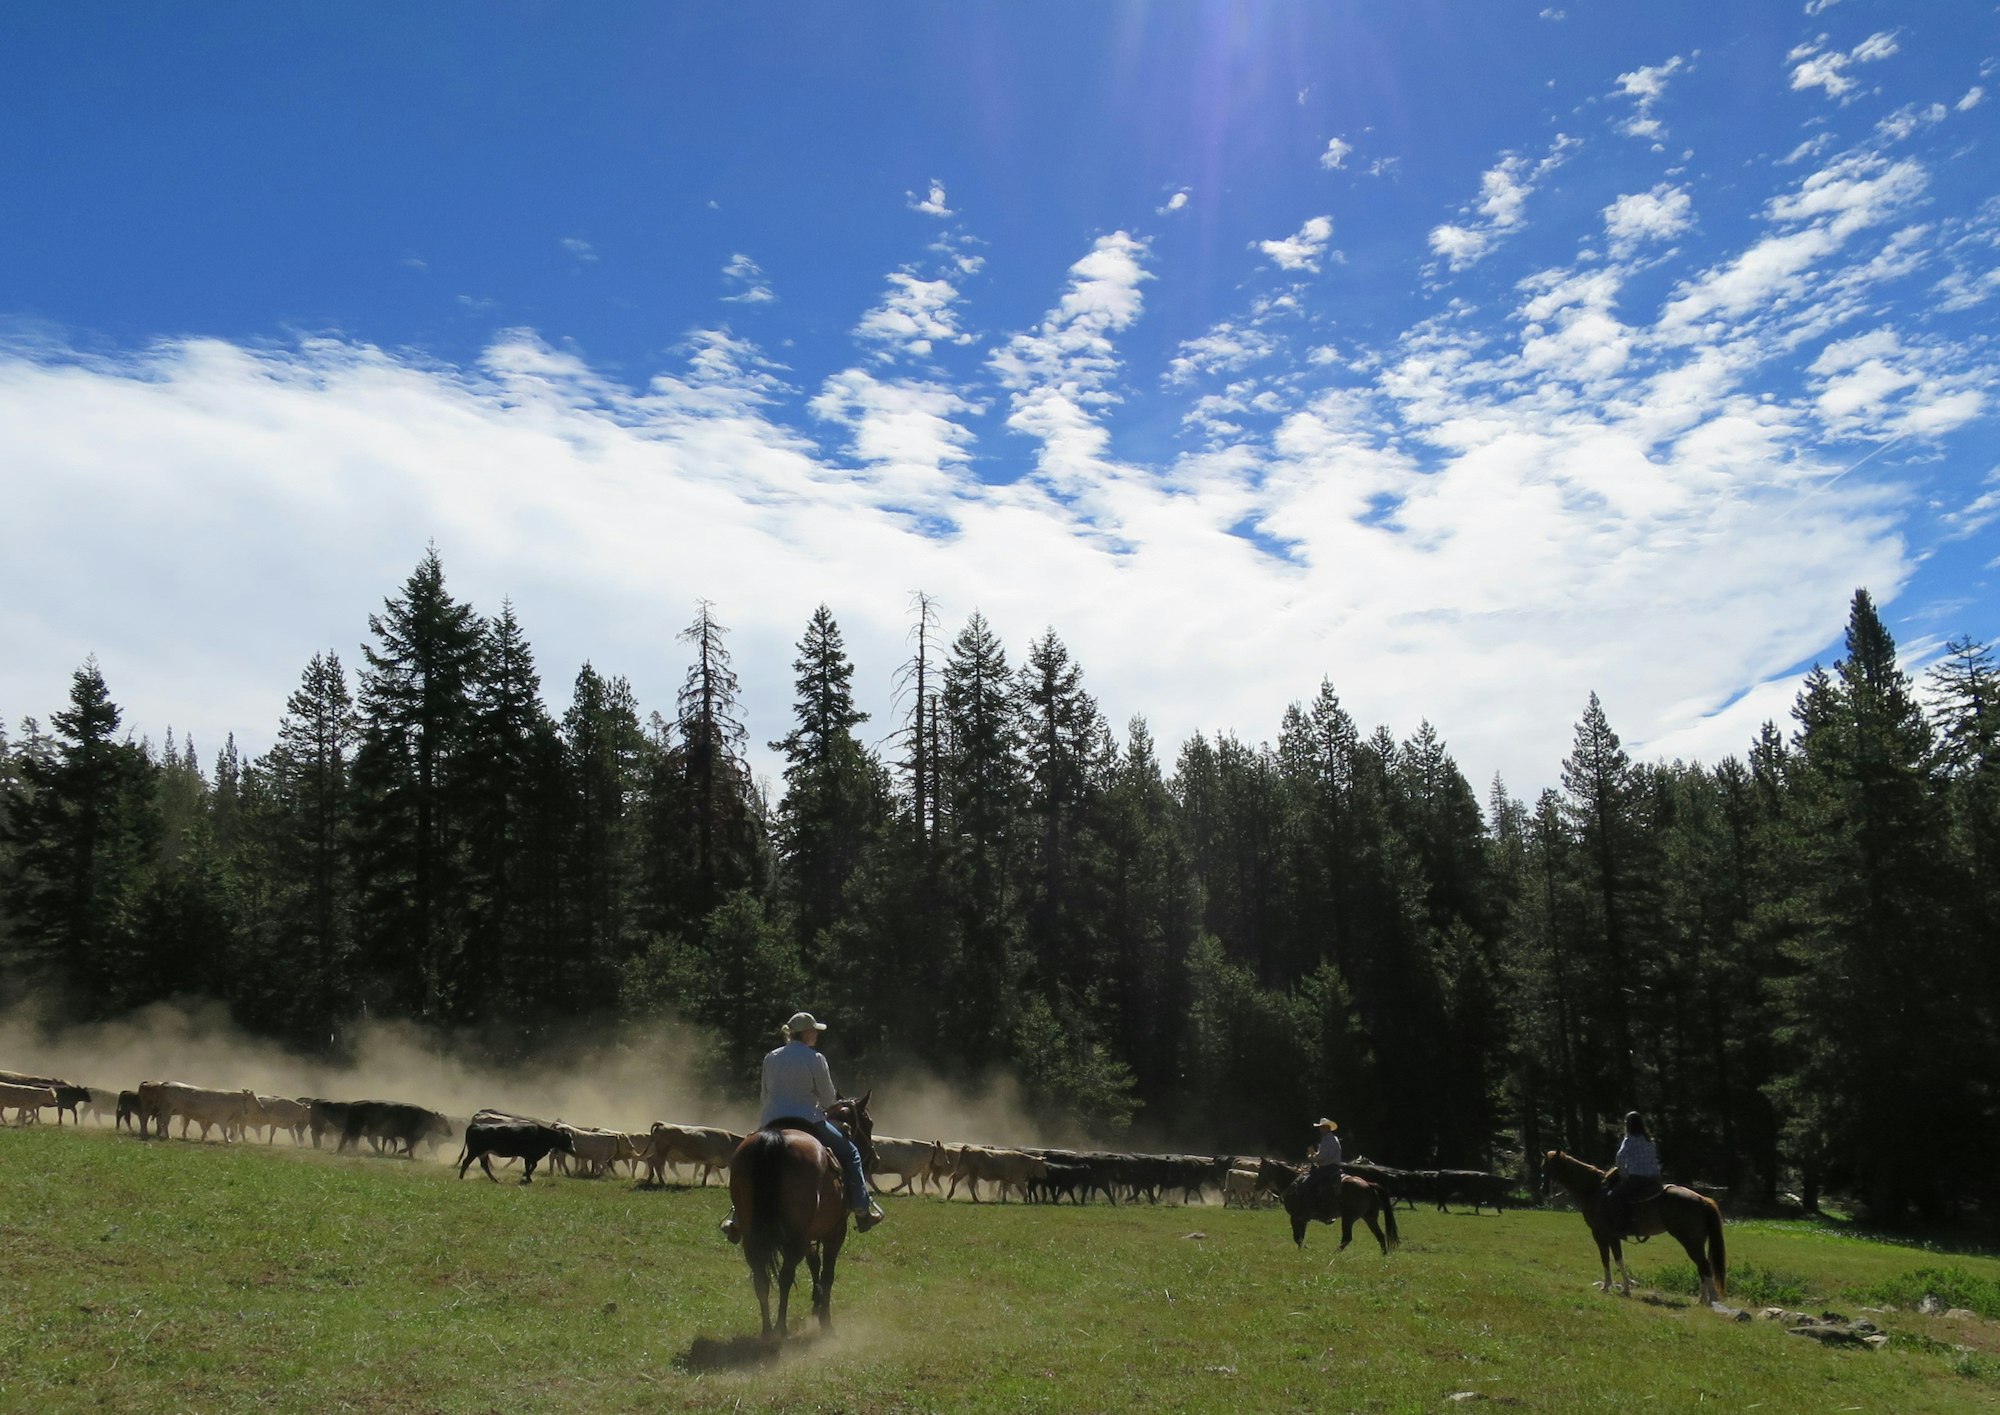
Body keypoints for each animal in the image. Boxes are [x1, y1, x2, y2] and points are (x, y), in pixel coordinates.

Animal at [724, 1095, 872, 1335]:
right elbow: (827, 1273)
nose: (875, 1159)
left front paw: (816, 1302)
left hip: (753, 1235)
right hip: (795, 1236)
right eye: (868, 1122)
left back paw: (767, 1330)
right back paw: (780, 1329)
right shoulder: (835, 1231)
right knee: (786, 1276)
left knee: (761, 1277)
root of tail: (774, 1138)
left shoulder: (809, 1234)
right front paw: (826, 1321)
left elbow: (814, 1263)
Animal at [1280, 1167, 1408, 1255]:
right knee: (1380, 1235)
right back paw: (1384, 1254)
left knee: (1347, 1237)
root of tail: (1368, 1184)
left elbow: (1297, 1238)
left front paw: (1306, 1249)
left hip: (1348, 1218)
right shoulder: (1302, 1219)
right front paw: (1302, 1251)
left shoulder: (1295, 1217)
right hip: (1369, 1218)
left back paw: (1334, 1253)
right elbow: (1300, 1237)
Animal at [1536, 1151, 1728, 1303]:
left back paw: (1711, 1299)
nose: (1543, 1190)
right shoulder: (1610, 1236)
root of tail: (1702, 1200)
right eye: (1543, 1166)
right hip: (1696, 1242)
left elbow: (1609, 1259)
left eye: (1549, 1167)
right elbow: (1617, 1259)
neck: (1593, 1190)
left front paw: (1610, 1287)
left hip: (1690, 1241)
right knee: (1701, 1266)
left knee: (1704, 1265)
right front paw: (1623, 1288)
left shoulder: (1601, 1234)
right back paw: (1702, 1299)